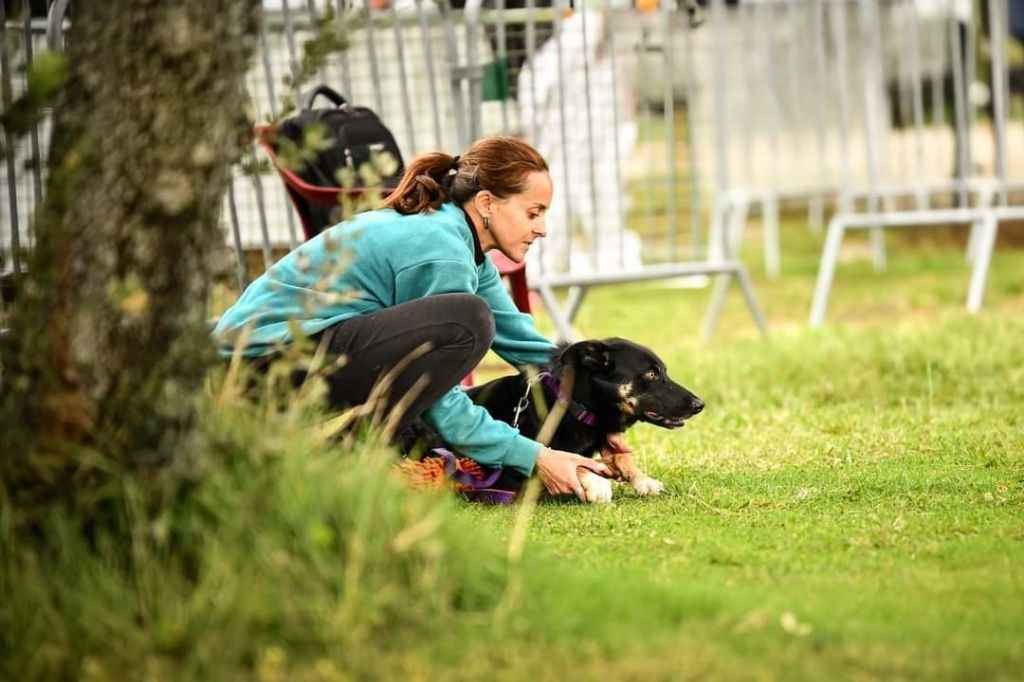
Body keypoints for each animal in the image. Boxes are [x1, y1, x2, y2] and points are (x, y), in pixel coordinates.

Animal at [466, 335, 700, 499]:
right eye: (651, 374)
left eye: (664, 371)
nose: (700, 405)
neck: (574, 406)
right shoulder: (510, 476)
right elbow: (571, 462)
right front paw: (596, 482)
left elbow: (620, 455)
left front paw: (642, 478)